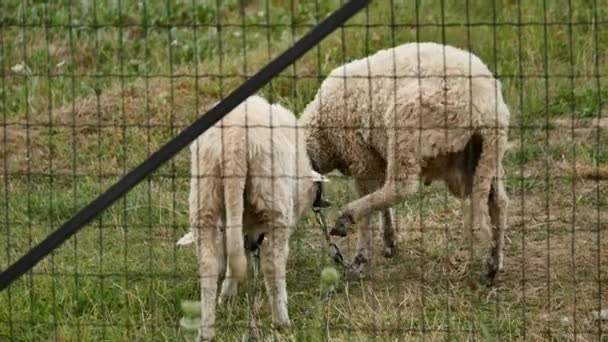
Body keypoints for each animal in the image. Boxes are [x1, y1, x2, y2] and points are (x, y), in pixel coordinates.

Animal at [180, 95, 330, 340]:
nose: (253, 244)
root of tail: (235, 142)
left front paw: (227, 295)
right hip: (272, 197)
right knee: (272, 263)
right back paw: (282, 322)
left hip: (205, 195)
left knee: (209, 264)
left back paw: (206, 330)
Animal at [302, 40, 510, 286]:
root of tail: (487, 108)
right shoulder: (377, 158)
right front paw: (389, 239)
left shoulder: (361, 156)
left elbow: (369, 207)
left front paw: (361, 258)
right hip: (484, 157)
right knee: (498, 202)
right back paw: (492, 266)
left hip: (406, 124)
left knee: (401, 187)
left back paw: (347, 215)